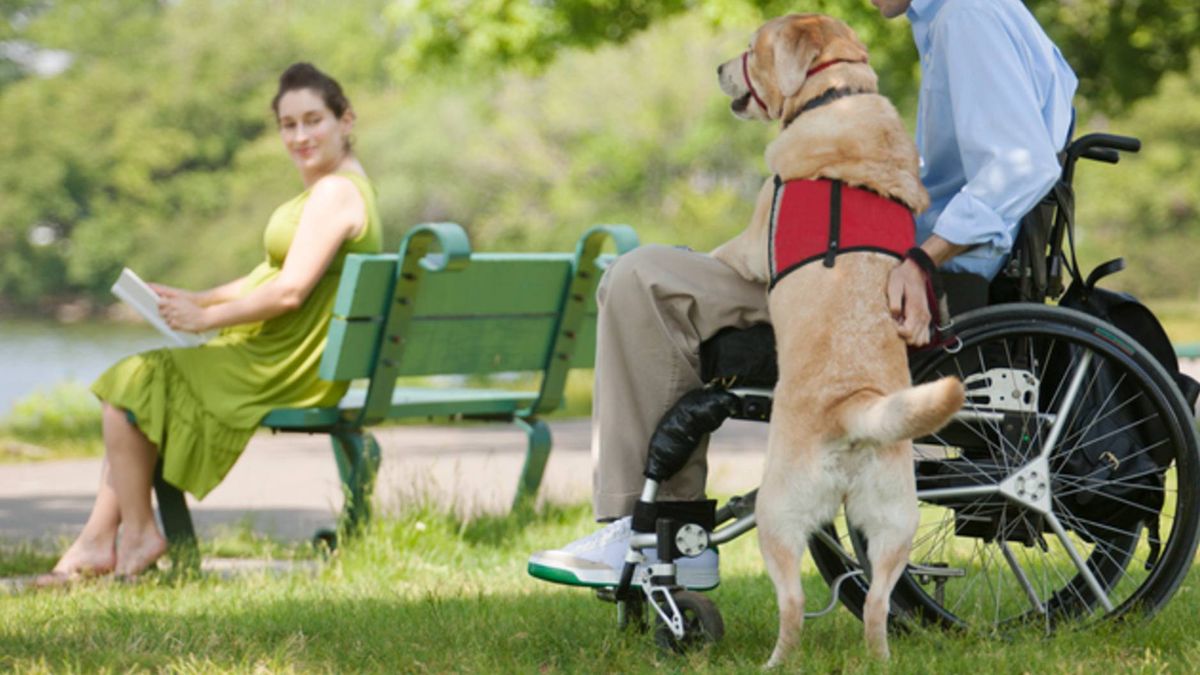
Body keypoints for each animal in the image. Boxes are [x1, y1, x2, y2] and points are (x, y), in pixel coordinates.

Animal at [710, 14, 964, 662]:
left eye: (751, 49)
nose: (719, 68)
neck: (837, 94)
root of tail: (857, 407)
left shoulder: (752, 241)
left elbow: (720, 252)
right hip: (895, 523)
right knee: (876, 604)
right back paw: (879, 661)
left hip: (777, 515)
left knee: (793, 606)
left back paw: (775, 663)